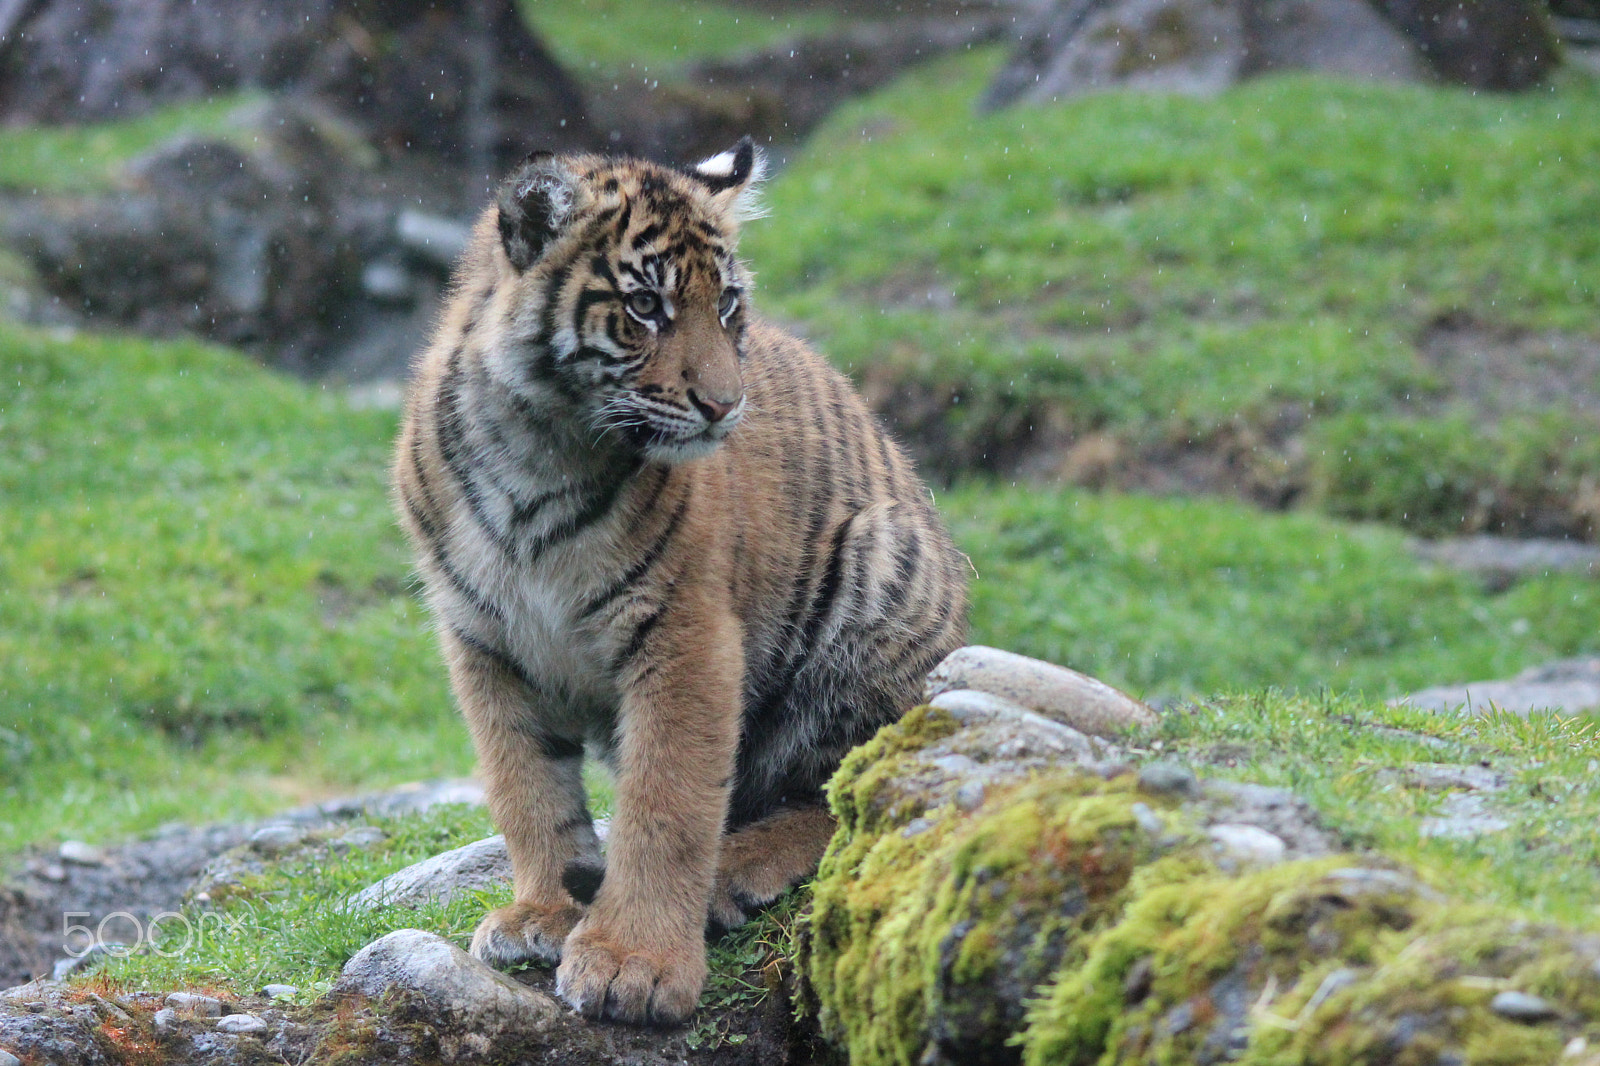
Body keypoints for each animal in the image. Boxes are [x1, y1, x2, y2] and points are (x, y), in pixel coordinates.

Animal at [392, 137, 969, 1026]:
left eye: (727, 305)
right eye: (644, 307)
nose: (726, 406)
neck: (540, 445)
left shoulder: (684, 629)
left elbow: (666, 802)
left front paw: (635, 964)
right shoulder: (482, 638)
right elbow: (526, 786)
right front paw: (545, 910)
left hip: (879, 570)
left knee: (845, 790)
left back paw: (733, 873)